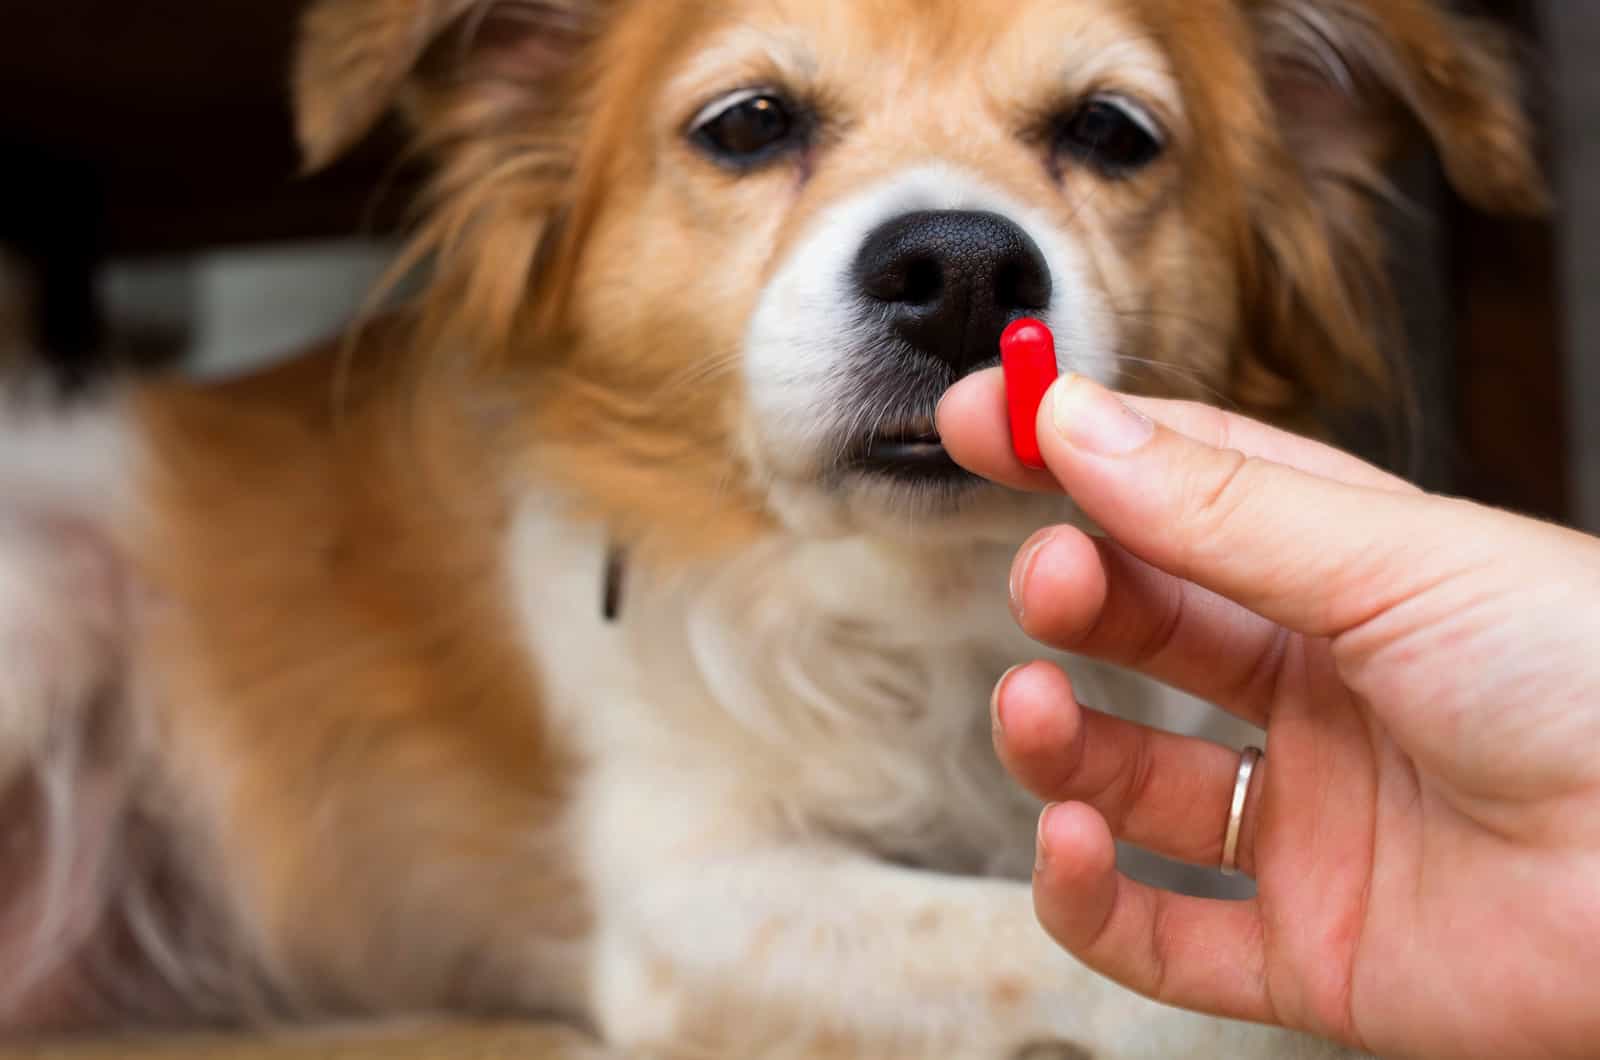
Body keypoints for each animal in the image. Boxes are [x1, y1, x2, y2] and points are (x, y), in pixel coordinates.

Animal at [3, 0, 1548, 1056]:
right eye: (748, 124)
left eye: (1111, 133)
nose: (960, 268)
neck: (922, 599)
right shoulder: (692, 894)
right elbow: (1057, 951)